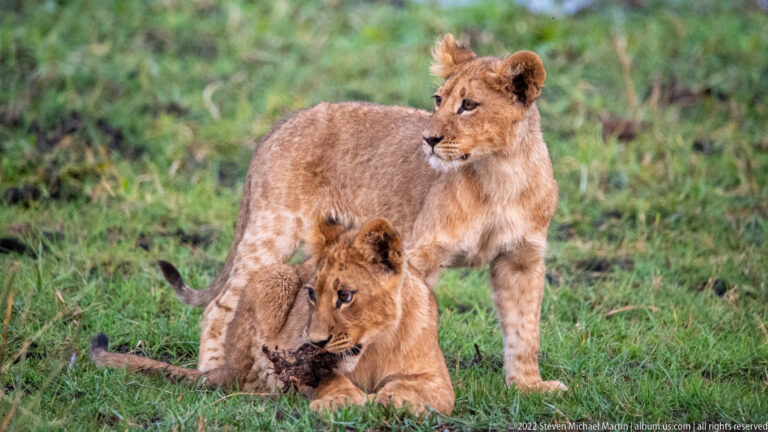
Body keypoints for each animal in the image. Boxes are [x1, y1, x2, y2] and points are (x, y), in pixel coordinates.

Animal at [90, 217, 455, 414]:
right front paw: (342, 401)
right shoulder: (308, 365)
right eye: (311, 293)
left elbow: (422, 392)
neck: (373, 348)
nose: (315, 342)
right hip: (272, 276)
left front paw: (396, 401)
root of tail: (227, 365)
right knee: (250, 378)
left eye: (345, 296)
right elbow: (330, 379)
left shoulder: (437, 379)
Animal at [172, 34, 566, 392]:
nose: (428, 140)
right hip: (275, 228)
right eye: (439, 100)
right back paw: (212, 369)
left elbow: (525, 330)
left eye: (469, 105)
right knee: (221, 304)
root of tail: (280, 125)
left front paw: (529, 387)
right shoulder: (419, 253)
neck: (500, 174)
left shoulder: (521, 259)